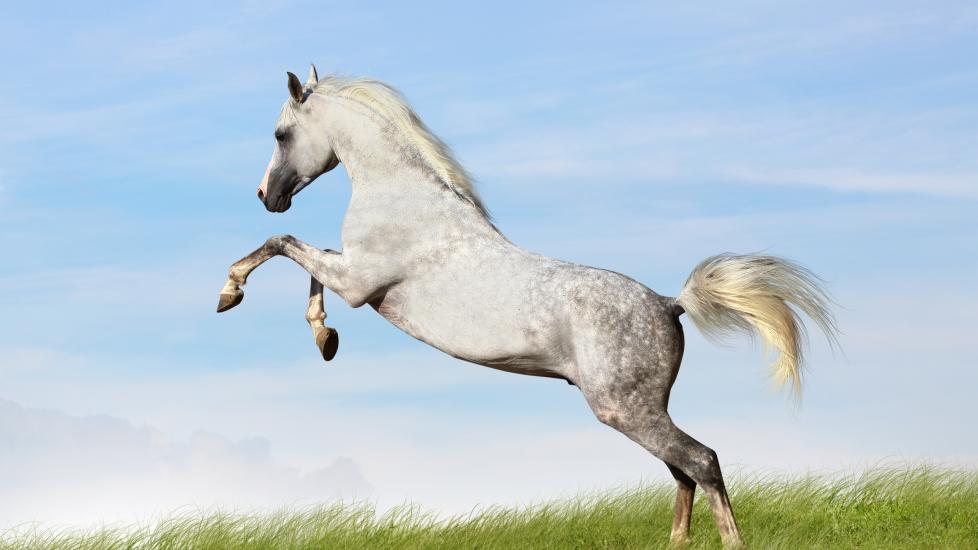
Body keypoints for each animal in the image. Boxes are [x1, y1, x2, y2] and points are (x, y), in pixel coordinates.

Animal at [217, 65, 837, 547]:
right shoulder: (348, 273)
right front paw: (325, 339)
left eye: (280, 134)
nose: (267, 196)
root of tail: (669, 304)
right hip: (642, 411)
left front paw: (233, 293)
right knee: (682, 472)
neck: (403, 197)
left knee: (701, 462)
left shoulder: (357, 282)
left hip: (625, 410)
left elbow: (284, 245)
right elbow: (303, 258)